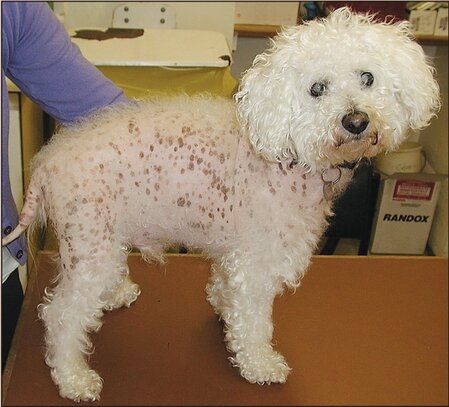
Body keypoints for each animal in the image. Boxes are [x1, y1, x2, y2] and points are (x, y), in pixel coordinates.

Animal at [2, 7, 438, 404]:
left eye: (368, 78)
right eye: (317, 88)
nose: (356, 120)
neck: (284, 150)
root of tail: (47, 163)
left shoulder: (235, 255)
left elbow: (227, 293)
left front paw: (223, 308)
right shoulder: (257, 263)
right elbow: (255, 323)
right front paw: (259, 364)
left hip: (100, 242)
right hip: (90, 245)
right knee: (61, 316)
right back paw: (72, 377)